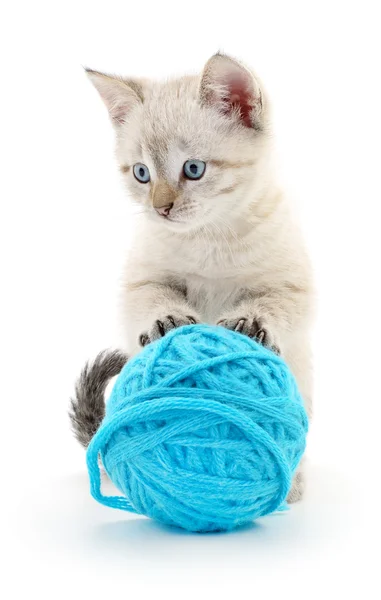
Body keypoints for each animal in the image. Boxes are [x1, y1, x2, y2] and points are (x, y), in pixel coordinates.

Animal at [72, 52, 314, 502]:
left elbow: (275, 304)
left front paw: (249, 320)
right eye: (142, 174)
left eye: (194, 169)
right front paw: (167, 320)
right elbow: (151, 299)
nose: (161, 209)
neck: (210, 238)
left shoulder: (291, 284)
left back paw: (291, 488)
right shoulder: (142, 280)